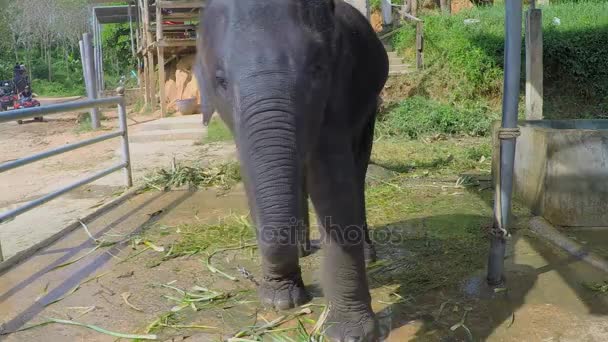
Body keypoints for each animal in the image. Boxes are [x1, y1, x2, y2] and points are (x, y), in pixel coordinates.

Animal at [195, 1, 390, 340]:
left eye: (317, 69)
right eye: (221, 80)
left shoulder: (337, 90)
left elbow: (332, 184)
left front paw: (349, 334)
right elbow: (253, 177)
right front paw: (281, 301)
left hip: (369, 106)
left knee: (358, 170)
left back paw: (366, 255)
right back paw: (302, 251)